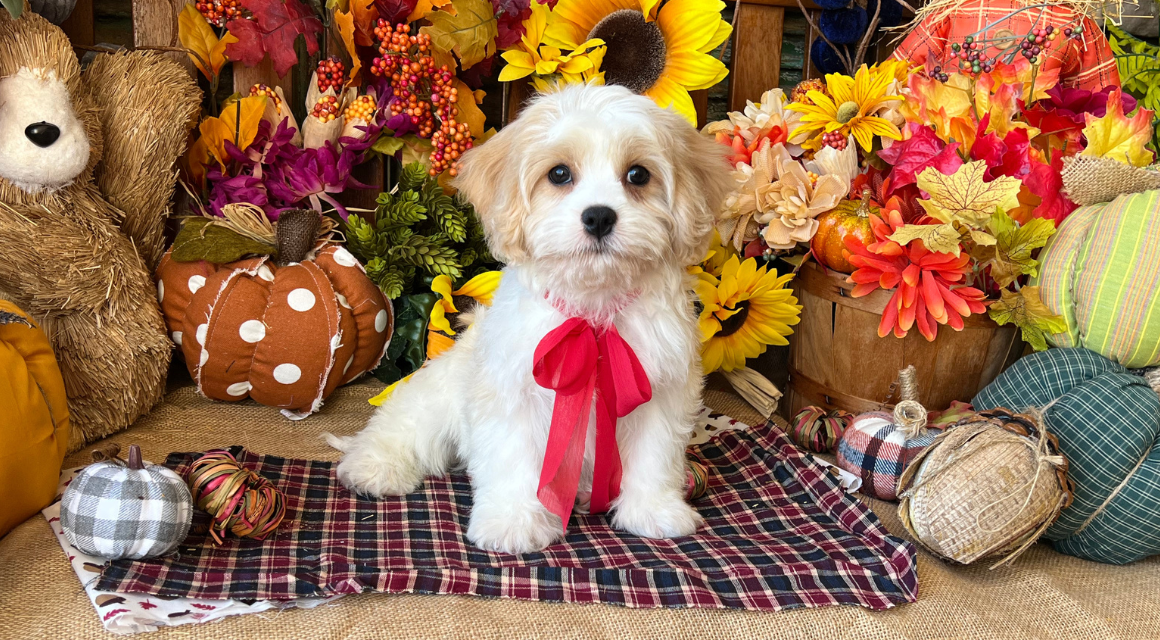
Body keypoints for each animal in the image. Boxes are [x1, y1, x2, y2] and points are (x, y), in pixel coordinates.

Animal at [327, 83, 728, 554]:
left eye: (638, 175)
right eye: (559, 174)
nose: (598, 216)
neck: (591, 312)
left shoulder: (660, 390)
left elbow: (654, 454)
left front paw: (654, 510)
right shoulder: (512, 391)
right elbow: (512, 456)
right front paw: (512, 521)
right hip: (435, 398)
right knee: (402, 428)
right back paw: (374, 467)